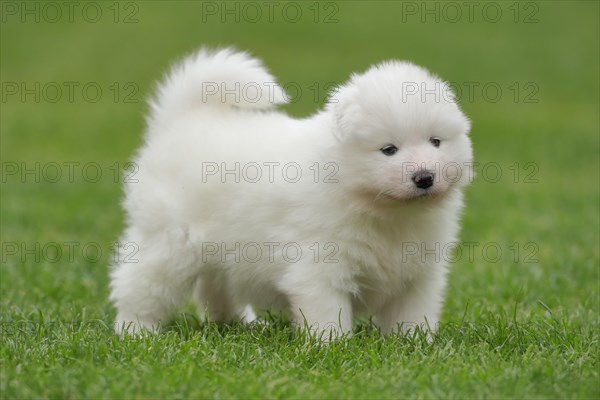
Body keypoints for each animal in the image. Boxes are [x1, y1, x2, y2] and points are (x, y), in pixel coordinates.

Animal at [109, 47, 474, 338]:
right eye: (389, 150)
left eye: (436, 141)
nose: (424, 177)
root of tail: (182, 121)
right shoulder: (320, 265)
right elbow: (328, 313)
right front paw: (332, 347)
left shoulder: (419, 272)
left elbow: (412, 313)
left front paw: (413, 344)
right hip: (168, 243)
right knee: (138, 287)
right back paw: (137, 332)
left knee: (215, 288)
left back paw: (238, 323)